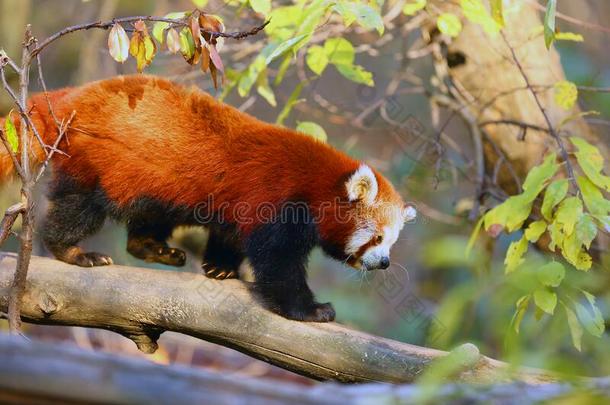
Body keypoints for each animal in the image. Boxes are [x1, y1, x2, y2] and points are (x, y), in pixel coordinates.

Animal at [0, 75, 414, 322]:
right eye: (377, 237)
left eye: (392, 242)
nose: (384, 263)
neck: (316, 183)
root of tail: (73, 94)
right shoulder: (278, 201)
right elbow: (278, 264)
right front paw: (310, 309)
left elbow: (231, 235)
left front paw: (220, 268)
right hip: (97, 159)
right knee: (79, 206)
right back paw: (71, 251)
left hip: (153, 181)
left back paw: (152, 247)